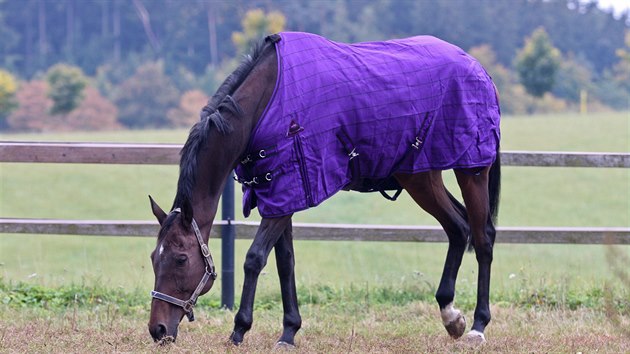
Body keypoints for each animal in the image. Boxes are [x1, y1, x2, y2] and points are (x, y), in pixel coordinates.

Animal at [148, 31, 504, 348]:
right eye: (154, 257)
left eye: (181, 259)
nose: (158, 329)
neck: (266, 104)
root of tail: (477, 67)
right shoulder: (281, 196)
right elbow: (285, 261)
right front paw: (289, 332)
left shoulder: (287, 194)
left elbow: (255, 258)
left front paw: (239, 330)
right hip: (420, 176)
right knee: (458, 228)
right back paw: (450, 315)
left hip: (471, 170)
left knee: (482, 238)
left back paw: (478, 326)